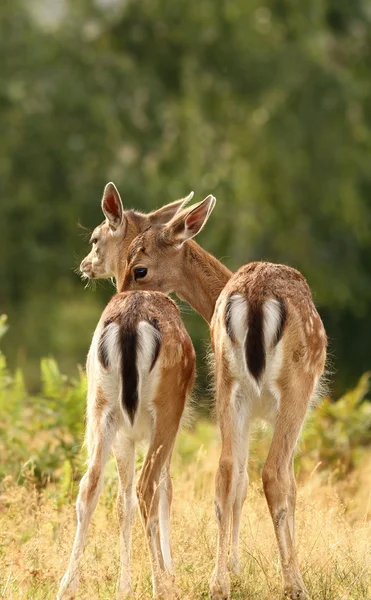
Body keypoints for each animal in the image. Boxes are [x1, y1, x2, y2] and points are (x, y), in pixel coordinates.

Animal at [120, 196, 328, 600]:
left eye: (138, 268)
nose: (119, 296)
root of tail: (255, 297)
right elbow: (289, 484)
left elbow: (239, 482)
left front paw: (235, 567)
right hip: (295, 385)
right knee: (274, 473)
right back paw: (294, 584)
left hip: (227, 384)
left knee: (225, 470)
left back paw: (218, 583)